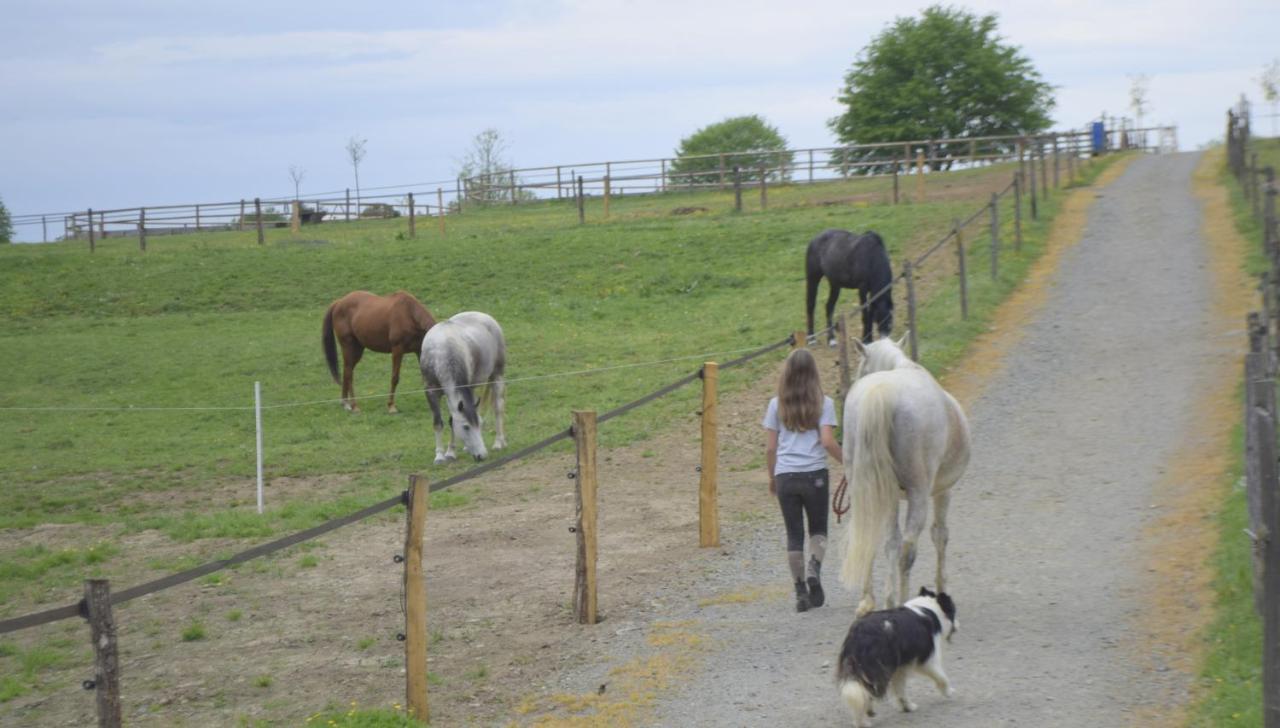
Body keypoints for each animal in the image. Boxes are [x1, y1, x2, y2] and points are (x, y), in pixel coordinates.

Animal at [414, 310, 504, 460]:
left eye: (480, 424)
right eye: (466, 427)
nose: (482, 455)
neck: (444, 350)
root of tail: (485, 316)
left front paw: (449, 452)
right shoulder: (431, 391)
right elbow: (440, 423)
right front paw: (441, 455)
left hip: (497, 376)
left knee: (498, 408)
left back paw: (499, 442)